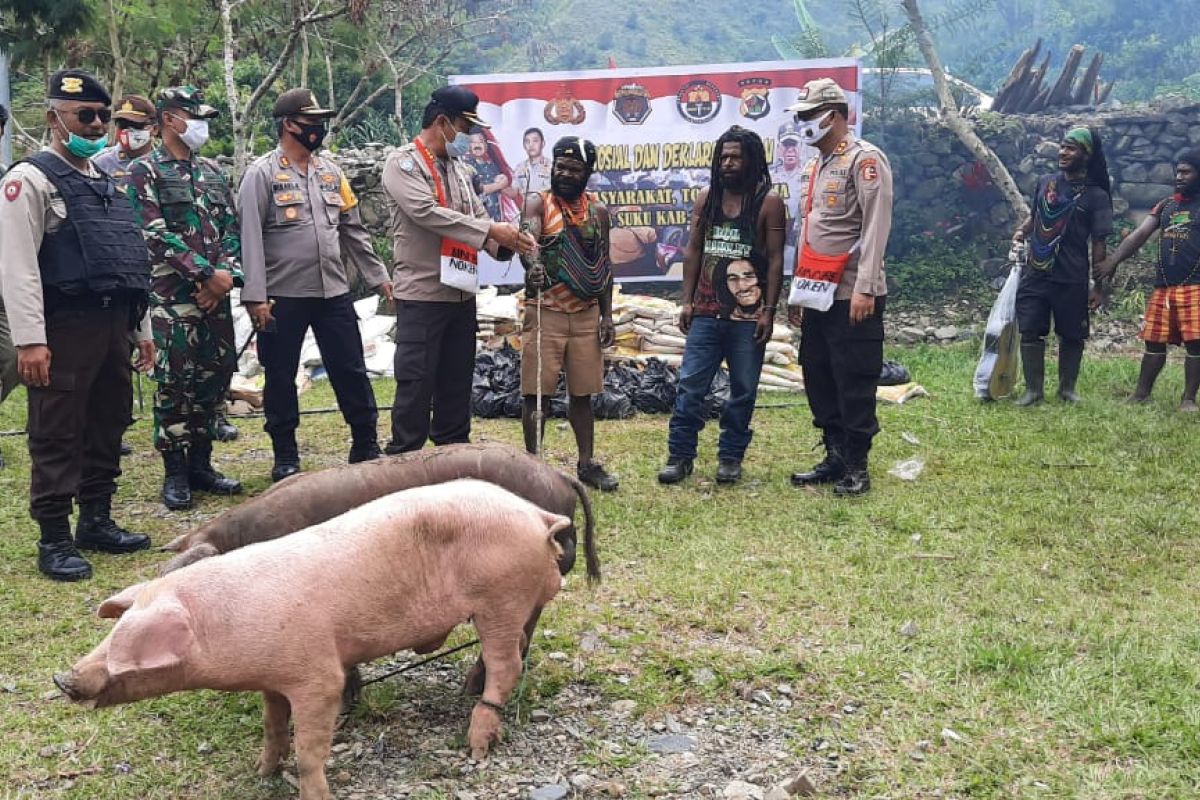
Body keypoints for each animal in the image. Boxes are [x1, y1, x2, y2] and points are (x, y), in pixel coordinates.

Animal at [51, 482, 566, 800]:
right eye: (113, 631)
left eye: (128, 641)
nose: (62, 678)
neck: (225, 624)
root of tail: (535, 515)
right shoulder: (272, 677)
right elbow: (273, 725)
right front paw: (260, 773)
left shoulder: (316, 676)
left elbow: (310, 749)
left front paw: (312, 791)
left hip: (500, 599)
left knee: (506, 664)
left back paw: (476, 746)